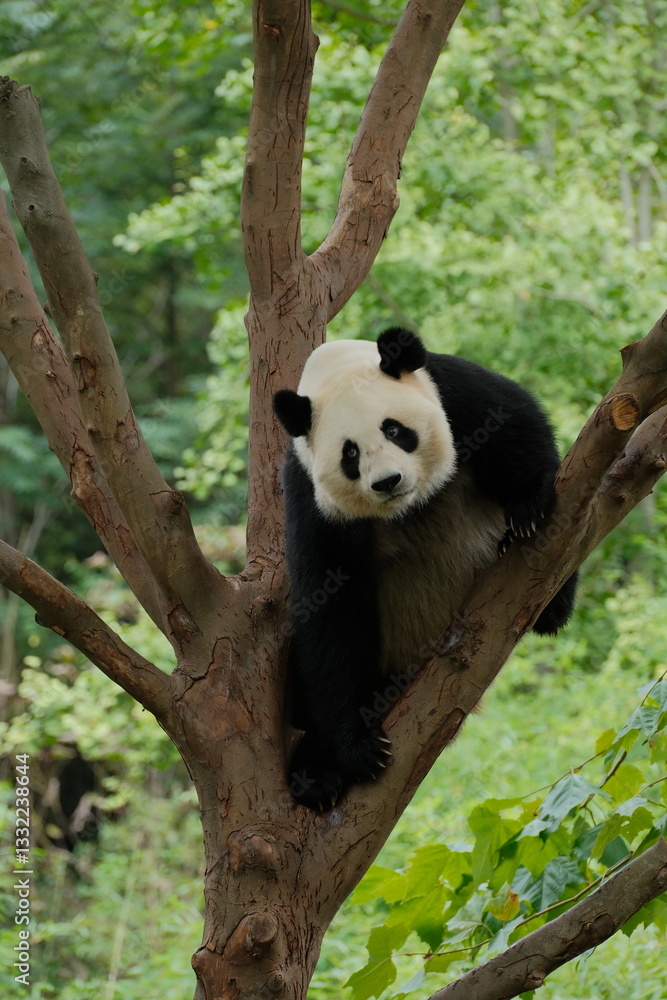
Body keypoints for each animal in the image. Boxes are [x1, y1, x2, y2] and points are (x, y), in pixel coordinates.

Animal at [273, 328, 577, 810]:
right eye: (350, 454)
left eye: (395, 429)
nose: (387, 482)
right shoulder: (309, 494)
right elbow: (329, 606)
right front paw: (358, 747)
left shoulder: (452, 391)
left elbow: (514, 422)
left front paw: (528, 508)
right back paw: (314, 776)